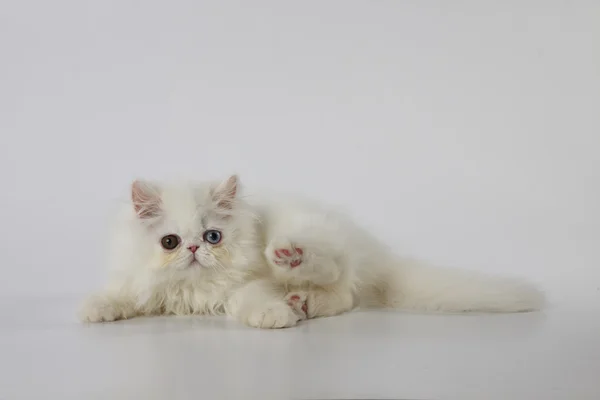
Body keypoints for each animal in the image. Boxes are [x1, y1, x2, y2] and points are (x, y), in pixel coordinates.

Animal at [79, 175, 544, 328]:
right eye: (170, 242)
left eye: (212, 237)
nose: (194, 248)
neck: (193, 288)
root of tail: (373, 249)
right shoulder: (141, 284)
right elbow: (119, 295)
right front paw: (94, 310)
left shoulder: (247, 285)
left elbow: (252, 300)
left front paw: (274, 317)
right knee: (342, 297)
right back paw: (302, 303)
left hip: (321, 244)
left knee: (337, 281)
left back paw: (292, 265)